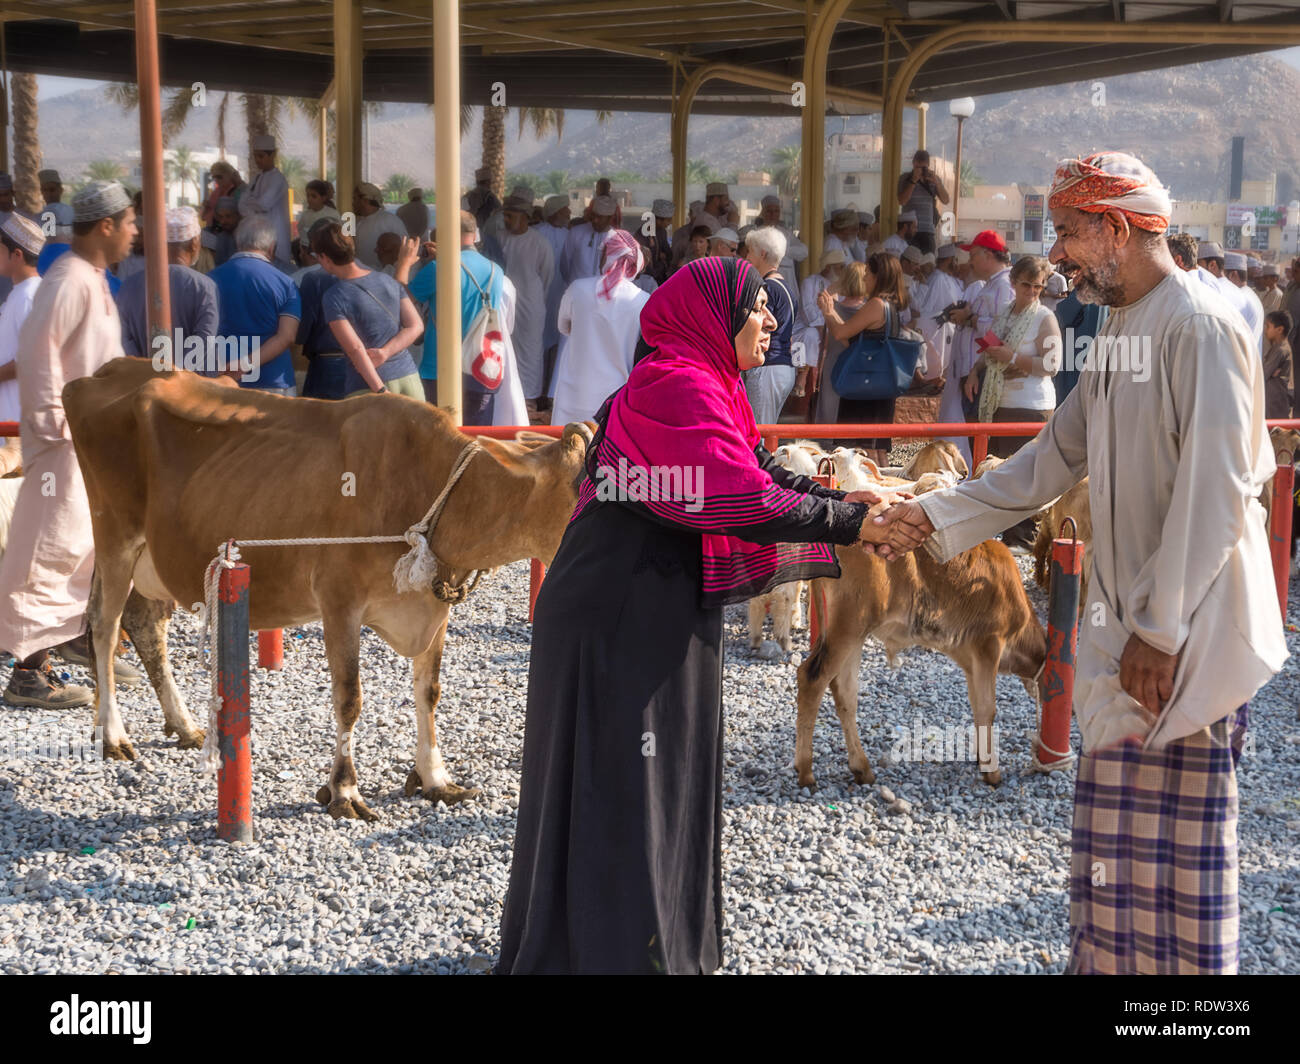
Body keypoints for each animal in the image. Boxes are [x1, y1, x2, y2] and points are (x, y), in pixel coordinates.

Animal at [61, 361, 590, 816]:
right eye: (584, 486)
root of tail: (111, 370)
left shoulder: (433, 606)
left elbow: (430, 691)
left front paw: (435, 777)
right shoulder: (339, 600)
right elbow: (349, 698)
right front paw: (344, 790)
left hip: (153, 559)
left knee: (146, 625)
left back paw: (186, 724)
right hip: (114, 535)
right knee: (104, 626)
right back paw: (111, 734)